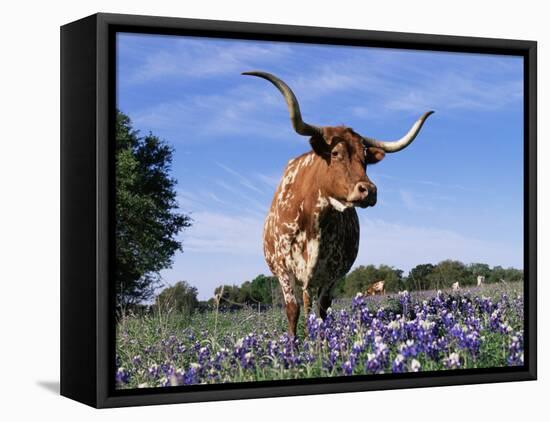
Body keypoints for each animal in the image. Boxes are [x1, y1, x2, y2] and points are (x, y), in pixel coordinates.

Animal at [245, 72, 436, 336]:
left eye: (365, 157)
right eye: (335, 153)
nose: (369, 190)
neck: (314, 219)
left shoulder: (333, 273)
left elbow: (322, 310)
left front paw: (320, 342)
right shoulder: (285, 270)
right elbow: (292, 311)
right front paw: (294, 345)